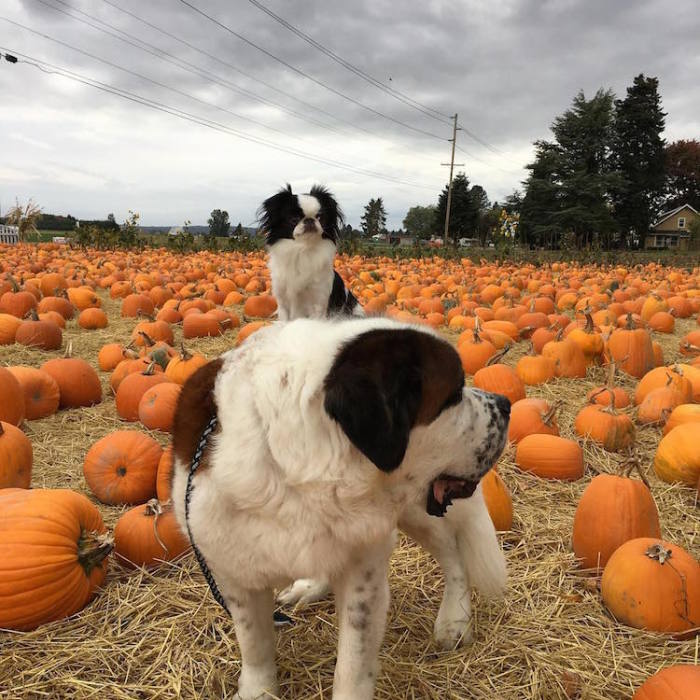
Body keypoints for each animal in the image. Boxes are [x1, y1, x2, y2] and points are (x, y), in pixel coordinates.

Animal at [170, 318, 508, 700]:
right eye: (453, 396)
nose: (506, 404)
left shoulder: (364, 576)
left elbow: (352, 663)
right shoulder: (231, 570)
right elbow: (254, 641)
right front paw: (258, 689)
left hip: (417, 509)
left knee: (453, 553)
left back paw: (454, 618)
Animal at [260, 183, 364, 320]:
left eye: (320, 217)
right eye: (294, 218)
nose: (309, 220)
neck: (302, 249)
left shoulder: (318, 303)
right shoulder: (283, 302)